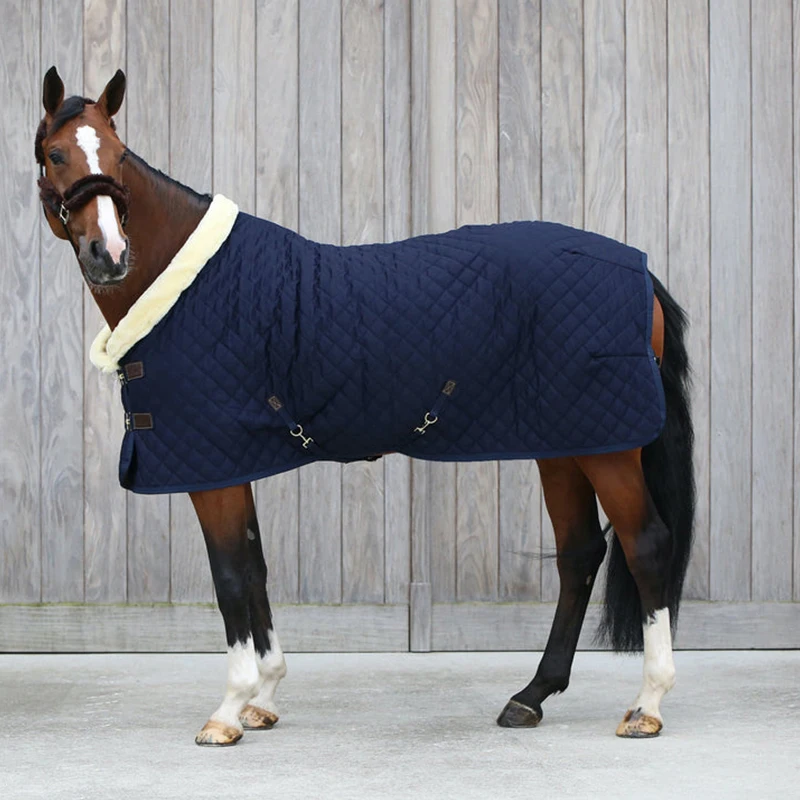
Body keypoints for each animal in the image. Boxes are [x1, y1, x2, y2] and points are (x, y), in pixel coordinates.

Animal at [34, 65, 692, 748]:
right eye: (56, 154)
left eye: (117, 155)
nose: (110, 254)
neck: (193, 287)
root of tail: (640, 272)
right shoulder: (233, 462)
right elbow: (256, 568)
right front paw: (263, 698)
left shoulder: (211, 471)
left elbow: (231, 576)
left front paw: (228, 710)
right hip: (565, 443)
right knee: (579, 554)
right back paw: (531, 696)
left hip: (609, 449)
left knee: (646, 545)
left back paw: (647, 705)